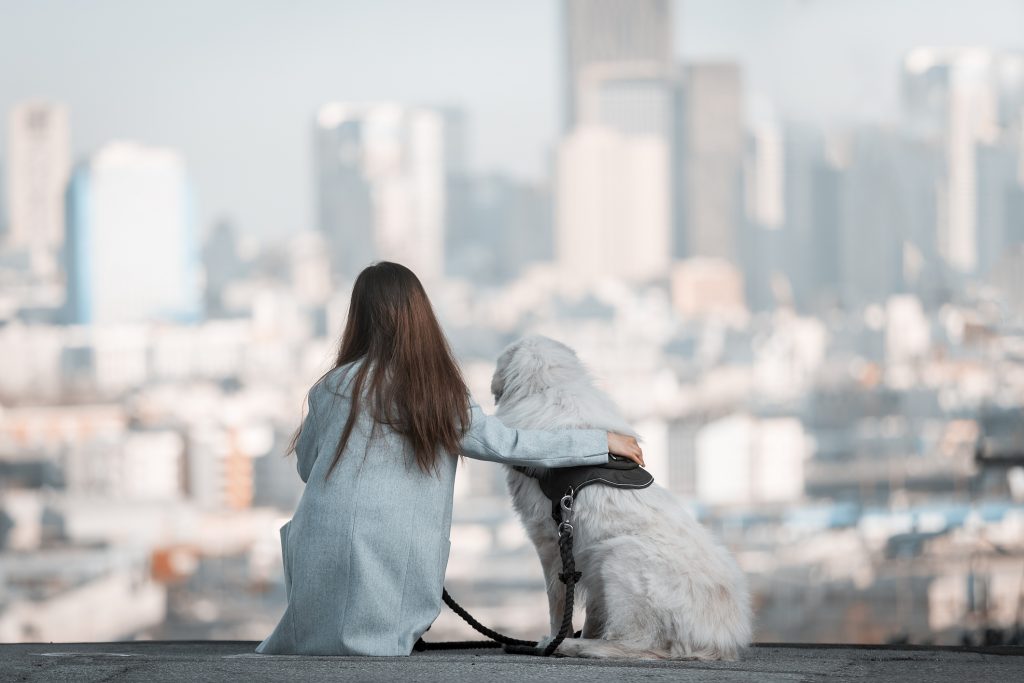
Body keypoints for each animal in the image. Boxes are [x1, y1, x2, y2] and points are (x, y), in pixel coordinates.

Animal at [487, 335, 753, 663]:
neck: (551, 387)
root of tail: (721, 639)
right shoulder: (579, 554)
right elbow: (592, 613)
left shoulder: (550, 543)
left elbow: (558, 604)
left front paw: (556, 638)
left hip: (619, 556)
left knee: (633, 644)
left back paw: (570, 646)